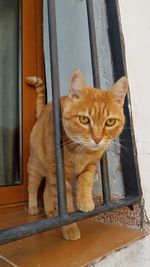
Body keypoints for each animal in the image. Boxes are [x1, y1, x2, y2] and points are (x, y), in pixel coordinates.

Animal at [25, 70, 127, 242]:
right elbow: (66, 205)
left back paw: (51, 213)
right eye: (84, 119)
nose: (97, 139)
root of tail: (43, 110)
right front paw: (70, 229)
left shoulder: (89, 166)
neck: (82, 151)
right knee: (32, 187)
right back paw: (33, 207)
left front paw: (85, 202)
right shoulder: (58, 173)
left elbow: (85, 183)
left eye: (110, 122)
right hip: (36, 166)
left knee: (46, 191)